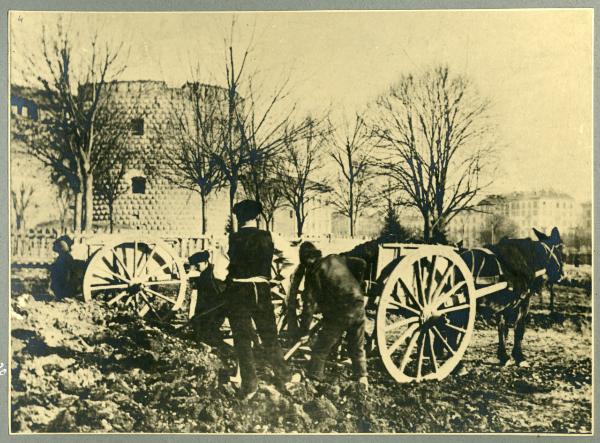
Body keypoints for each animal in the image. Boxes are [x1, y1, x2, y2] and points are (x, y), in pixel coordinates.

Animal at [462, 229, 564, 368]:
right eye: (560, 249)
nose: (562, 275)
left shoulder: (503, 306)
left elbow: (502, 330)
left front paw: (503, 356)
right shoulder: (524, 302)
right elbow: (519, 328)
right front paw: (519, 357)